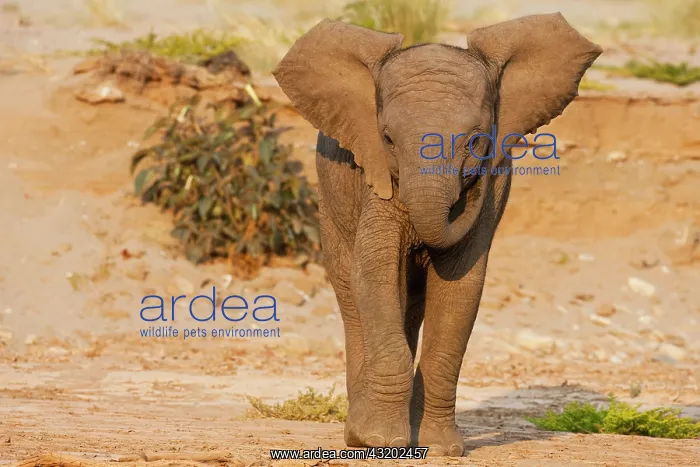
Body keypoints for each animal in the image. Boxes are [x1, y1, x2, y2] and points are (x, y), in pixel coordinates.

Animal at [273, 13, 602, 456]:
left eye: (477, 140)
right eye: (388, 139)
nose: (471, 189)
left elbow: (460, 286)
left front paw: (439, 449)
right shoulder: (375, 174)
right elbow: (375, 272)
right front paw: (379, 441)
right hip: (329, 202)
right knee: (354, 293)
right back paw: (357, 434)